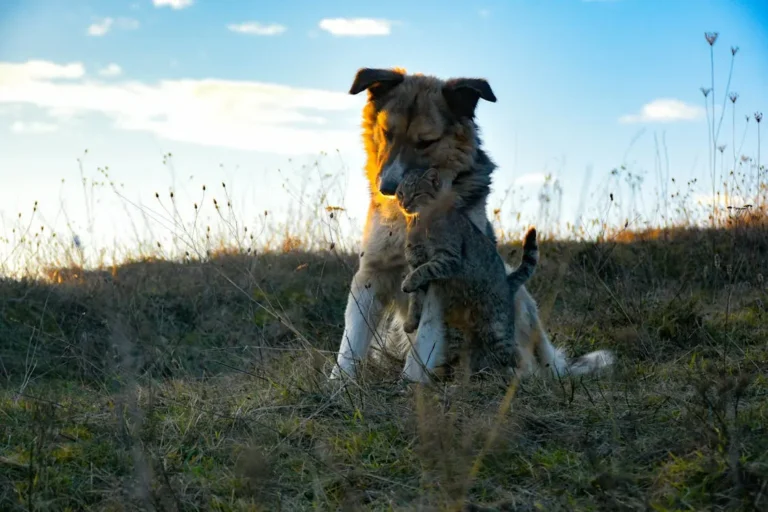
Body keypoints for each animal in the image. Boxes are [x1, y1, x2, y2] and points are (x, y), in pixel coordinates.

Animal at [328, 67, 616, 384]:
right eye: (387, 134)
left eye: (425, 142)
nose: (389, 189)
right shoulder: (373, 271)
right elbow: (352, 340)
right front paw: (339, 384)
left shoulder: (441, 276)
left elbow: (424, 339)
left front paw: (412, 383)